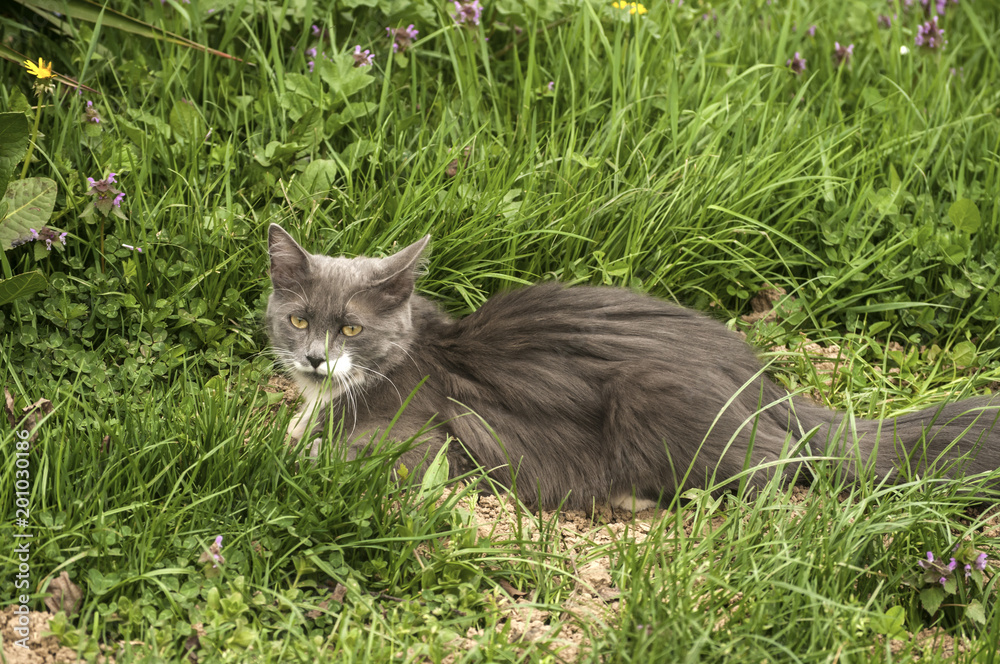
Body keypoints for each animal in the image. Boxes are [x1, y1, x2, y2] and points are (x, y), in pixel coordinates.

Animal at [266, 224, 1000, 508]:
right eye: (299, 319)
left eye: (352, 328)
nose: (315, 358)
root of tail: (766, 386)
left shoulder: (419, 438)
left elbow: (326, 455)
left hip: (661, 402)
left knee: (775, 472)